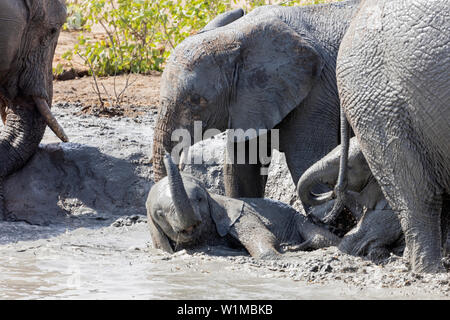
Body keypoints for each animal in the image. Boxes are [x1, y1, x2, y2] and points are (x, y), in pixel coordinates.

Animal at [146, 154, 340, 258]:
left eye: (200, 199)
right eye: (160, 214)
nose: (166, 155)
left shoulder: (239, 215)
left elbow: (266, 239)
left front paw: (277, 255)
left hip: (298, 219)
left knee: (320, 237)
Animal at [153, 1, 360, 199]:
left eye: (195, 100)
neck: (234, 33)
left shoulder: (315, 95)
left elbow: (306, 163)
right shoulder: (248, 101)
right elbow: (241, 169)